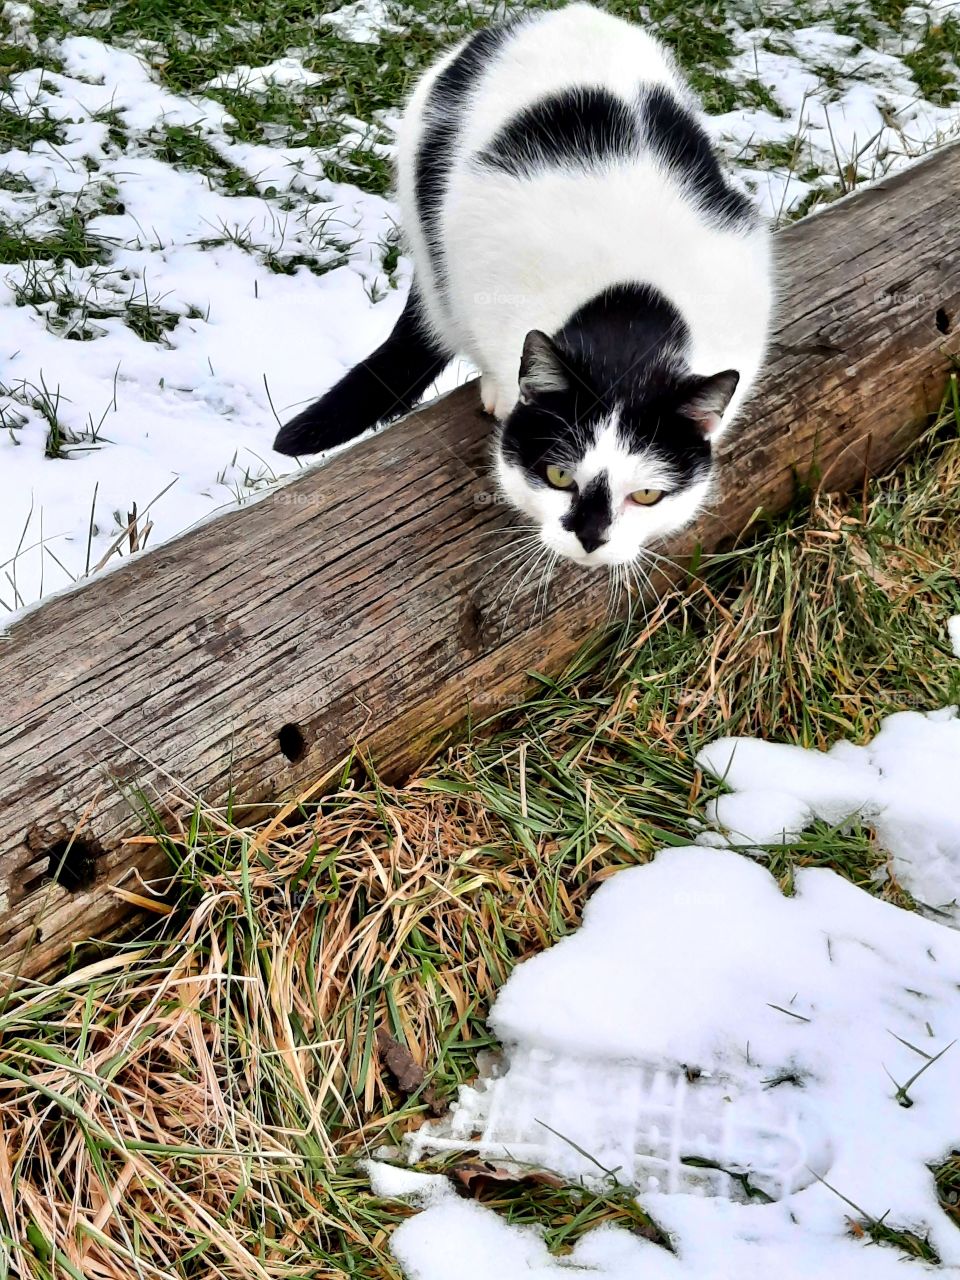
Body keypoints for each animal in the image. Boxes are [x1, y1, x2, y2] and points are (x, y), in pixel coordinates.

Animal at [272, 0, 773, 570]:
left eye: (646, 495)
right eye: (558, 475)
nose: (590, 538)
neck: (630, 313)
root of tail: (555, 15)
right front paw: (501, 391)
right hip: (422, 178)